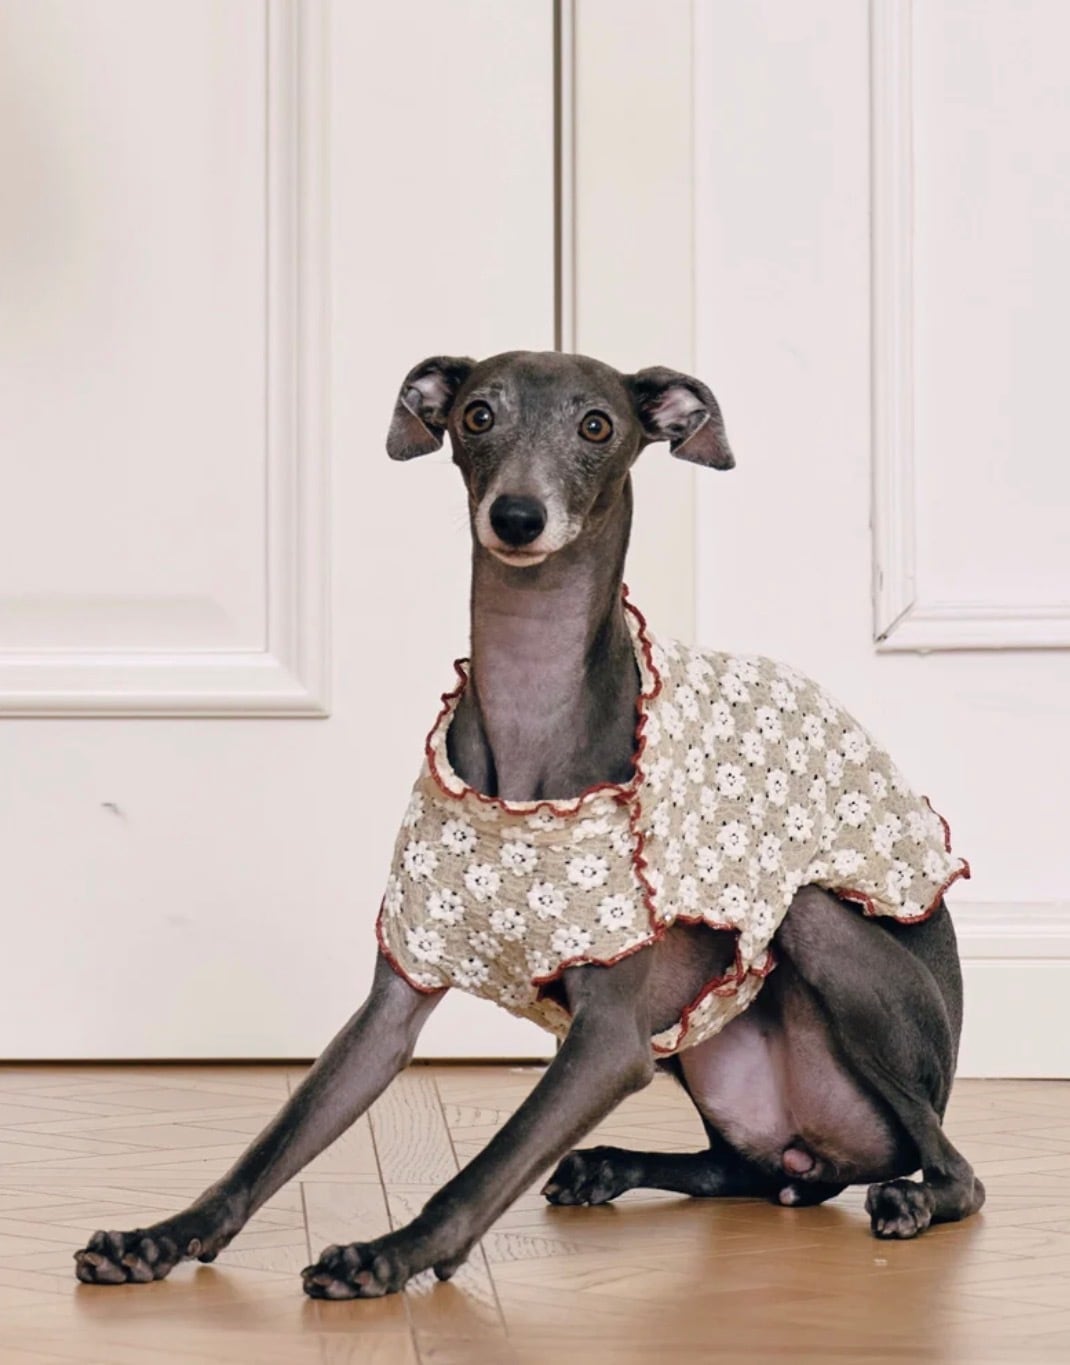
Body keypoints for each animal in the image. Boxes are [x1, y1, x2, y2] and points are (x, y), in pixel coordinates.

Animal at [74, 350, 984, 1298]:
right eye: (478, 414)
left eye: (597, 425)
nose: (517, 515)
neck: (530, 717)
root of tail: (820, 1158)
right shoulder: (394, 998)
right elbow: (275, 1141)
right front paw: (161, 1236)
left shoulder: (612, 1041)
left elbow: (485, 1167)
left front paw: (390, 1253)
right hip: (709, 1058)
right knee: (743, 1167)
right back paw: (606, 1165)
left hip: (817, 935)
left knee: (952, 1167)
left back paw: (911, 1197)